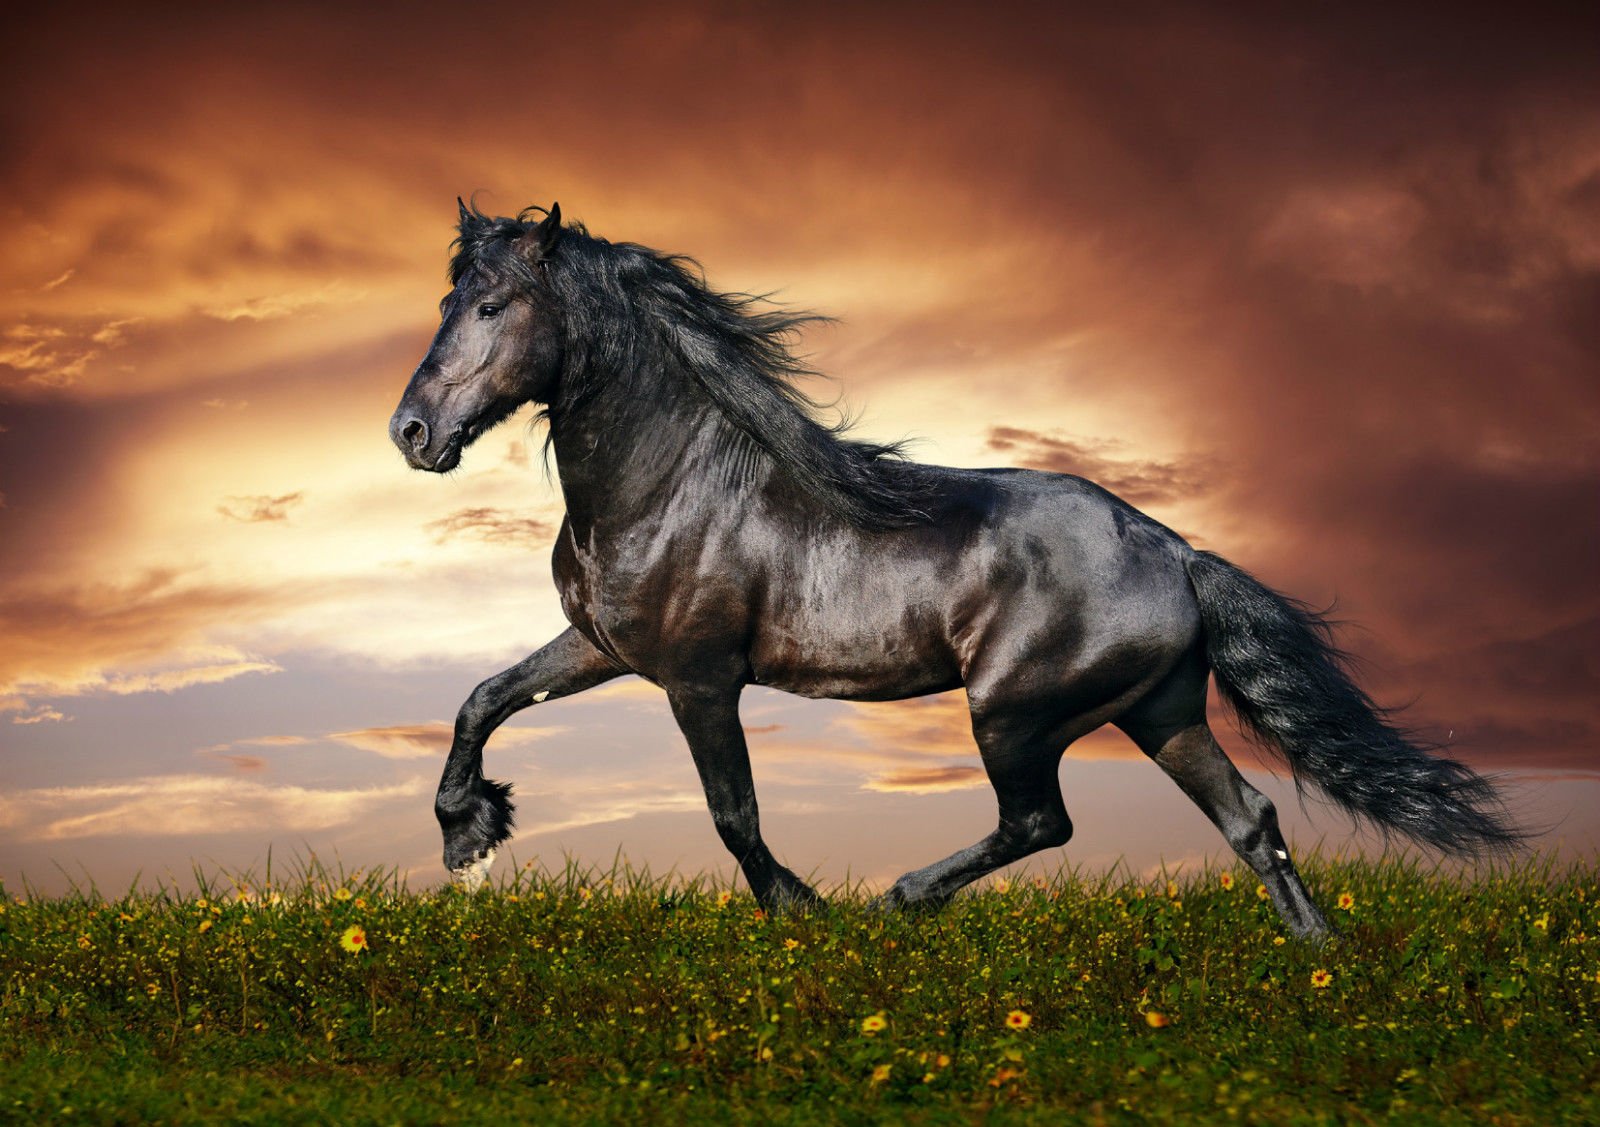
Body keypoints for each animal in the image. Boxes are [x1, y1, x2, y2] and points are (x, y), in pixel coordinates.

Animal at [388, 200, 1520, 938]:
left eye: (493, 305)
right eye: (449, 300)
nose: (412, 432)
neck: (670, 480)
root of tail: (1176, 551)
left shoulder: (698, 676)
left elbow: (732, 812)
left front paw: (802, 912)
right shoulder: (604, 645)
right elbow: (483, 697)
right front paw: (467, 834)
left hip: (1013, 710)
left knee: (1042, 820)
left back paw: (900, 897)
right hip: (1160, 710)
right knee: (1250, 819)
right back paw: (1318, 962)